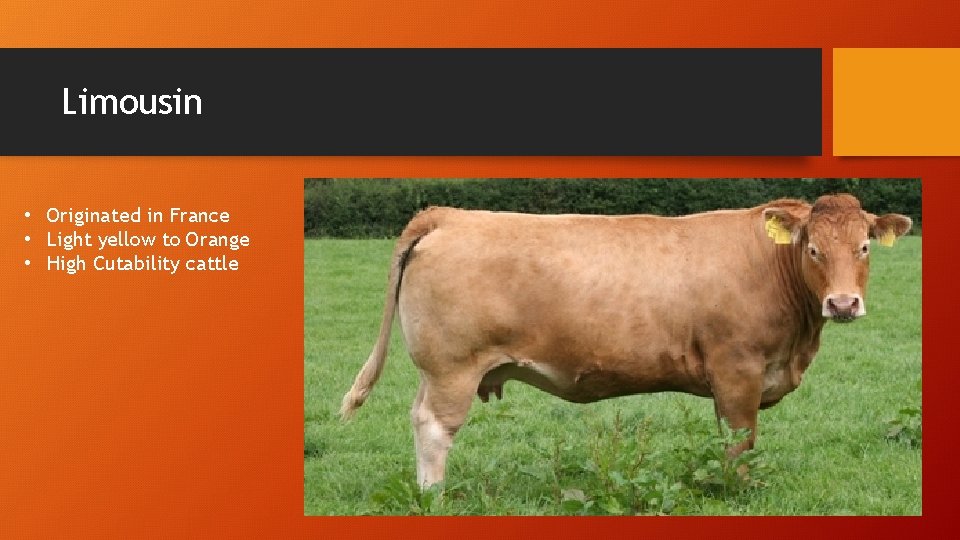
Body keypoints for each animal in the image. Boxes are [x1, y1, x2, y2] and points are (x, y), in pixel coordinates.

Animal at [340, 194, 912, 488]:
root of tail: (449, 215)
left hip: (436, 368)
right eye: (813, 249)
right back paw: (434, 495)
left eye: (864, 247)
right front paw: (735, 490)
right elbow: (737, 441)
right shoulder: (738, 369)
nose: (843, 304)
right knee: (434, 427)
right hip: (453, 366)